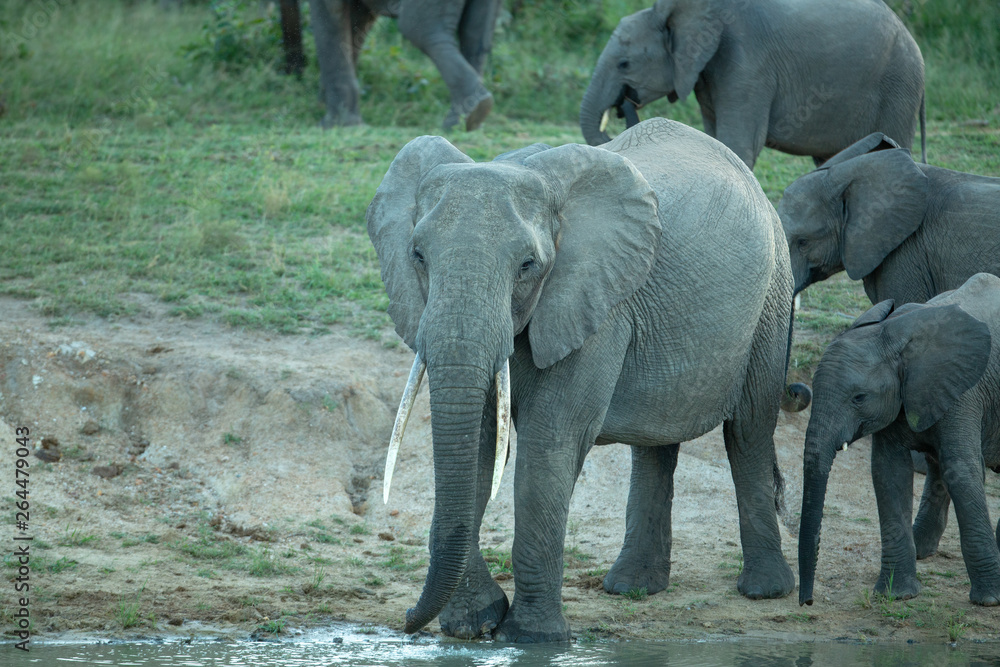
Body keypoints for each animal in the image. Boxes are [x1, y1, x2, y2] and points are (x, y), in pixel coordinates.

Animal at [306, 0, 499, 129]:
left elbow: (331, 14)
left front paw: (334, 125)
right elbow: (358, 19)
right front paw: (323, 105)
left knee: (418, 30)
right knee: (475, 36)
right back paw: (469, 118)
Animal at [367, 118, 796, 642]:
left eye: (528, 265)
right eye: (417, 255)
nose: (407, 621)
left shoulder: (598, 306)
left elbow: (551, 443)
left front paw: (532, 639)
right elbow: (481, 446)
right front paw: (473, 624)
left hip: (772, 298)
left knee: (749, 431)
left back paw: (764, 591)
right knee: (656, 443)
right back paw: (633, 588)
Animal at [798, 273, 1000, 607]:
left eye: (859, 398)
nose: (807, 602)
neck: (891, 335)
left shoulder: (964, 392)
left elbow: (962, 471)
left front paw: (989, 600)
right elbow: (888, 473)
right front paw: (897, 594)